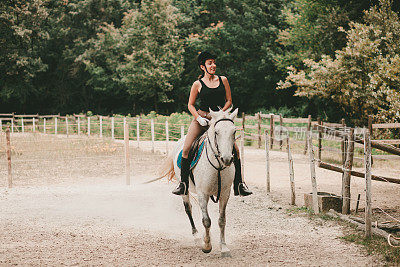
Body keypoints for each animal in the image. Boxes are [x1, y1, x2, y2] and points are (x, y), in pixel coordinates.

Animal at [161, 107, 239, 258]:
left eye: (234, 131)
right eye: (216, 132)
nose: (227, 159)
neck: (217, 165)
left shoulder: (225, 193)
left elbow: (222, 220)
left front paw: (224, 248)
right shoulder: (203, 192)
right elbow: (206, 221)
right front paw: (207, 246)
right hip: (185, 190)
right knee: (189, 209)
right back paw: (197, 236)